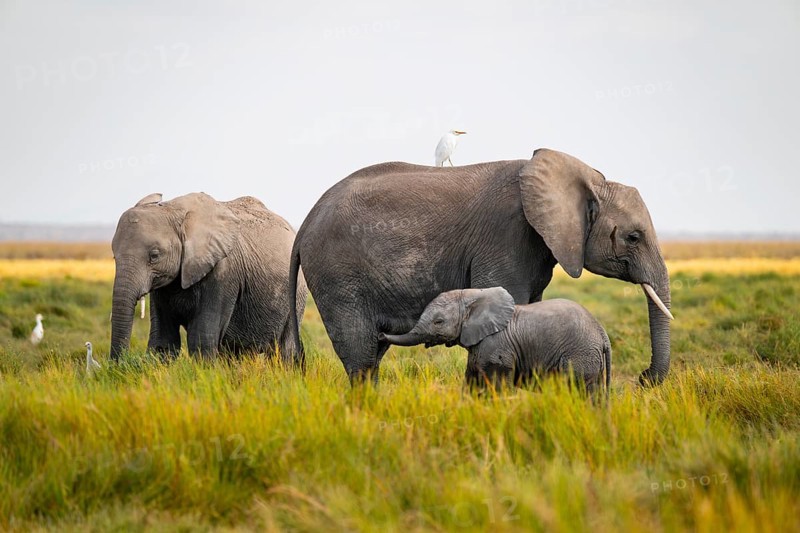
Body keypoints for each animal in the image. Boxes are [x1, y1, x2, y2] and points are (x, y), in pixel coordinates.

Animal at [110, 192, 307, 362]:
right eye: (114, 257)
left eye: (154, 255)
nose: (117, 365)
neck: (174, 210)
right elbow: (163, 340)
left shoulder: (222, 274)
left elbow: (201, 339)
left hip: (296, 293)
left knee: (285, 349)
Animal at [379, 288, 612, 394]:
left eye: (438, 322)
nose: (380, 333)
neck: (472, 296)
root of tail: (602, 333)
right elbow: (472, 380)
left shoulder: (497, 346)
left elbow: (497, 385)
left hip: (580, 354)